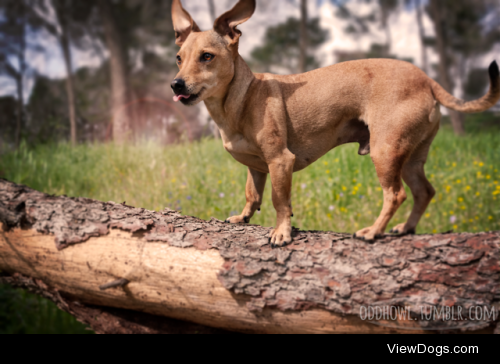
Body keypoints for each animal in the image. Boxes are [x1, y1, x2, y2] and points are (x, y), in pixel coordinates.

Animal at [172, 0, 500, 247]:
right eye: (178, 58)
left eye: (207, 57)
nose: (176, 84)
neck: (243, 96)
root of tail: (426, 79)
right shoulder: (257, 167)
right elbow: (252, 195)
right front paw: (243, 217)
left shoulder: (280, 161)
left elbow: (280, 201)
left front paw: (282, 232)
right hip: (410, 157)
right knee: (424, 191)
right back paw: (405, 228)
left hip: (385, 151)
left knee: (396, 194)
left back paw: (373, 231)